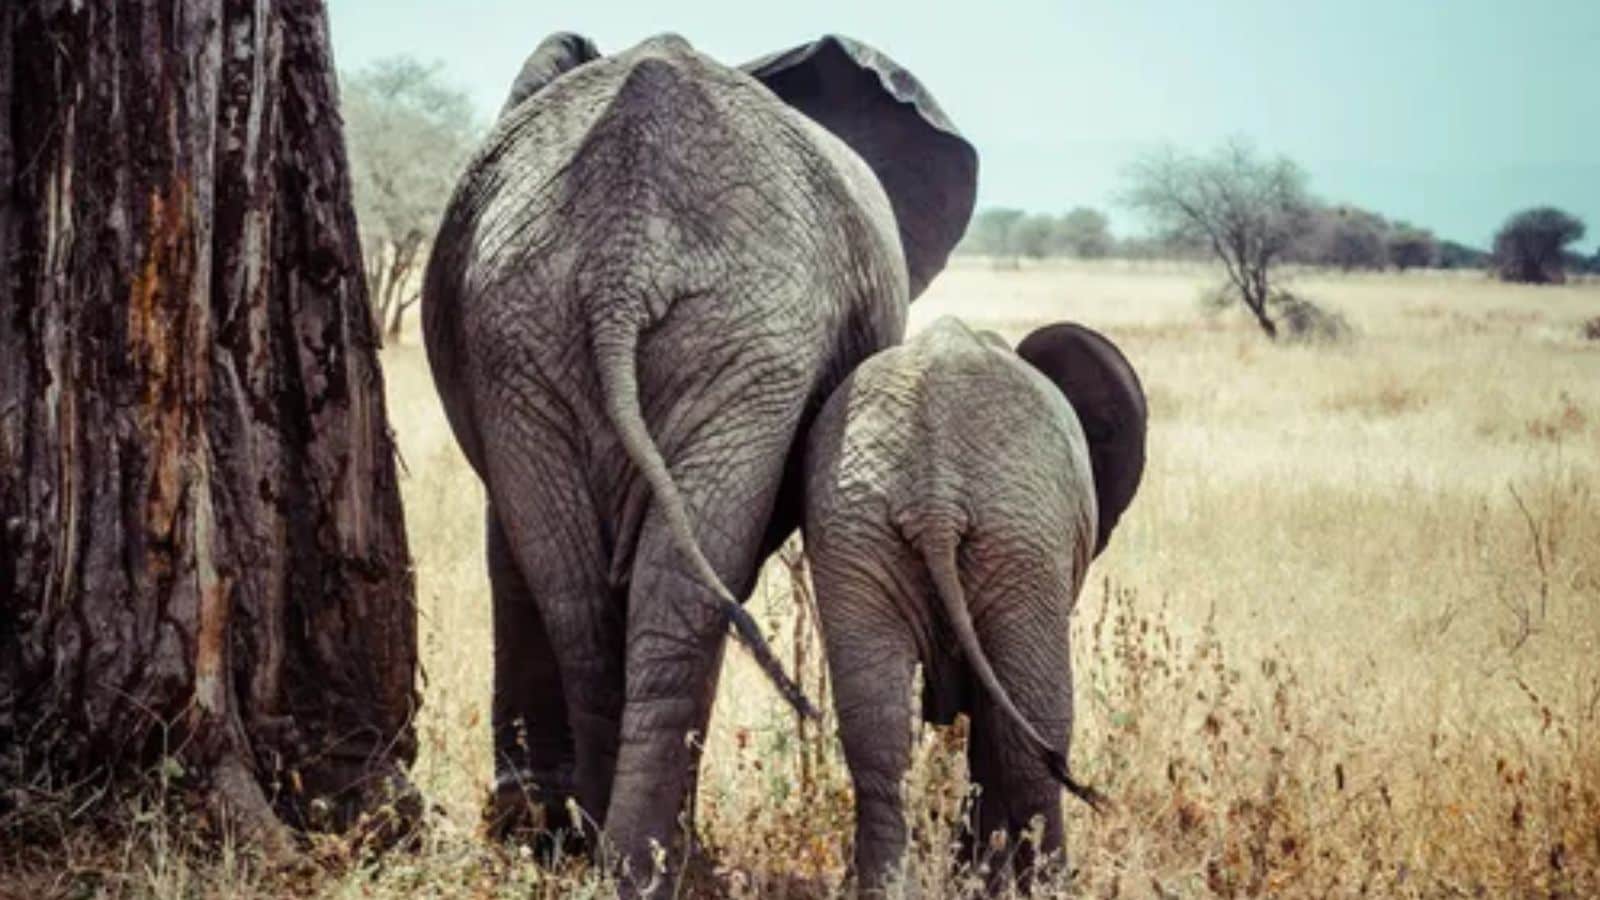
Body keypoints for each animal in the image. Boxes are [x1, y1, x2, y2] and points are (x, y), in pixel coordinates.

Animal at [420, 30, 976, 890]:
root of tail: (623, 252)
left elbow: (513, 555)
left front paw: (526, 828)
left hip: (542, 328)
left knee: (587, 594)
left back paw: (608, 852)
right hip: (716, 342)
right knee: (670, 592)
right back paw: (658, 863)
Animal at [801, 317, 1147, 893]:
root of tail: (934, 494)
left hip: (856, 530)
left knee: (878, 733)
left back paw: (886, 887)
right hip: (1020, 539)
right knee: (1035, 733)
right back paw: (1049, 886)